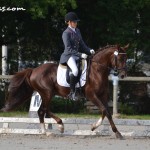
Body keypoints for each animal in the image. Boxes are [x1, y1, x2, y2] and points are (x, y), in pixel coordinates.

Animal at [0, 44, 128, 139]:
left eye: (126, 58)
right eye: (120, 58)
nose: (123, 75)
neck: (97, 71)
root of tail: (34, 70)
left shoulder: (103, 95)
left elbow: (106, 112)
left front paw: (97, 127)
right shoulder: (92, 95)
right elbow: (105, 110)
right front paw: (113, 132)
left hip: (47, 94)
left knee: (43, 110)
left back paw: (49, 129)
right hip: (47, 93)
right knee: (42, 110)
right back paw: (55, 128)